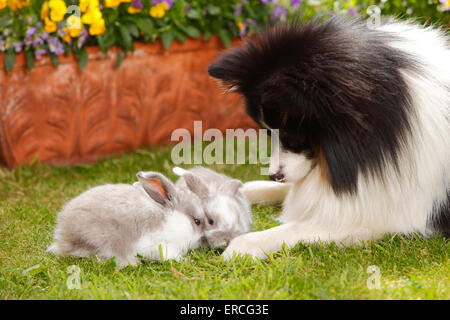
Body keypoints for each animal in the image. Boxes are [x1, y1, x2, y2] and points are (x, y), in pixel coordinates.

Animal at [46, 171, 207, 266]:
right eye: (197, 221)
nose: (202, 241)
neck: (173, 219)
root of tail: (62, 236)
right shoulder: (162, 245)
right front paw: (185, 260)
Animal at [207, 15, 450, 260]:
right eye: (268, 132)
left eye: (290, 134)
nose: (273, 176)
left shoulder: (380, 214)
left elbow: (295, 226)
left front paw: (242, 245)